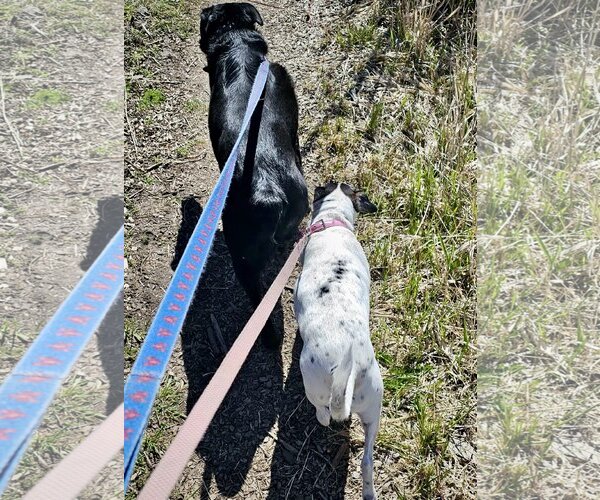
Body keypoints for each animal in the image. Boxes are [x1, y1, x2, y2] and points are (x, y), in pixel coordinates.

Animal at [294, 183, 384, 500]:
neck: (332, 222)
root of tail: (351, 370)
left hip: (314, 385)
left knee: (322, 413)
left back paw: (320, 416)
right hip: (373, 411)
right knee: (367, 461)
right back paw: (369, 491)